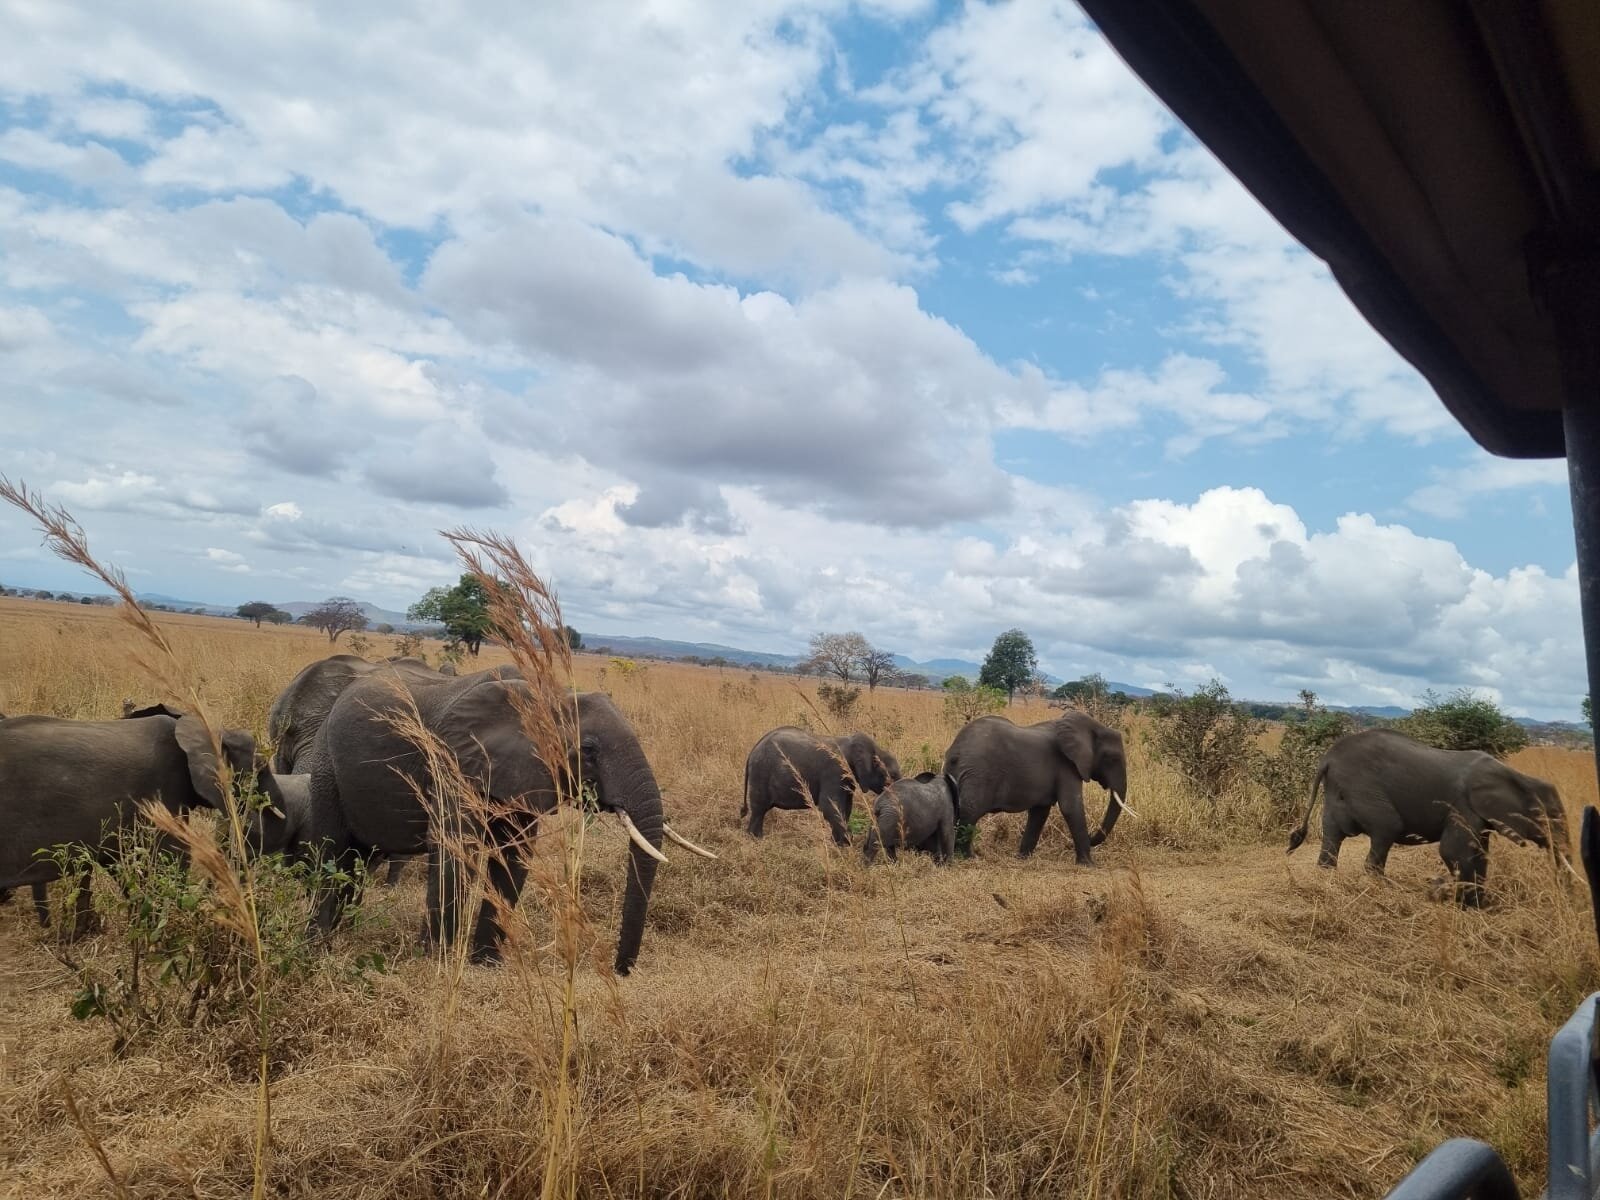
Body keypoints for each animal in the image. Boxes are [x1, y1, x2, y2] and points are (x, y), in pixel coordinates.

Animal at [301, 665, 714, 973]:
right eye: (588, 749)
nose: (621, 970)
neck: (545, 695)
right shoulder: (452, 763)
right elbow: (457, 852)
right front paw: (435, 965)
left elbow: (513, 860)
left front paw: (485, 967)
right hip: (325, 767)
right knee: (332, 853)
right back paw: (319, 945)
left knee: (356, 860)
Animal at [741, 727, 902, 846]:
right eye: (892, 776)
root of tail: (752, 751)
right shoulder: (834, 771)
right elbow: (829, 807)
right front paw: (847, 843)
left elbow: (845, 807)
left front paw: (838, 844)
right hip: (761, 773)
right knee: (759, 809)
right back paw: (756, 839)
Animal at [942, 712, 1130, 863]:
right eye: (1112, 759)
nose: (1091, 838)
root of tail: (956, 751)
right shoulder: (1067, 765)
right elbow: (1071, 807)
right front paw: (1089, 865)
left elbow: (1040, 812)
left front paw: (1022, 858)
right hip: (978, 773)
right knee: (970, 812)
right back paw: (968, 858)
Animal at [1287, 728, 1568, 904]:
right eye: (1551, 817)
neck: (1516, 776)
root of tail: (1327, 759)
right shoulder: (1462, 806)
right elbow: (1456, 852)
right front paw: (1464, 905)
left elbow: (1478, 852)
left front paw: (1478, 906)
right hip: (1363, 789)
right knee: (1386, 828)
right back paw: (1386, 888)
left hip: (1338, 793)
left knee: (1333, 836)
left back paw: (1327, 878)